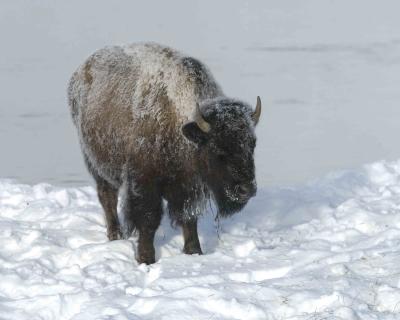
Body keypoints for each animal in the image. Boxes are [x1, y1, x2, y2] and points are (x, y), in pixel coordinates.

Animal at [68, 42, 262, 264]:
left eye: (252, 144)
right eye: (218, 149)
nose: (247, 189)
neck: (182, 127)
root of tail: (80, 71)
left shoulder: (189, 187)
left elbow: (189, 219)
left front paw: (194, 251)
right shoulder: (144, 184)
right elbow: (148, 219)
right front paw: (146, 258)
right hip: (98, 167)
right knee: (107, 198)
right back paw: (115, 235)